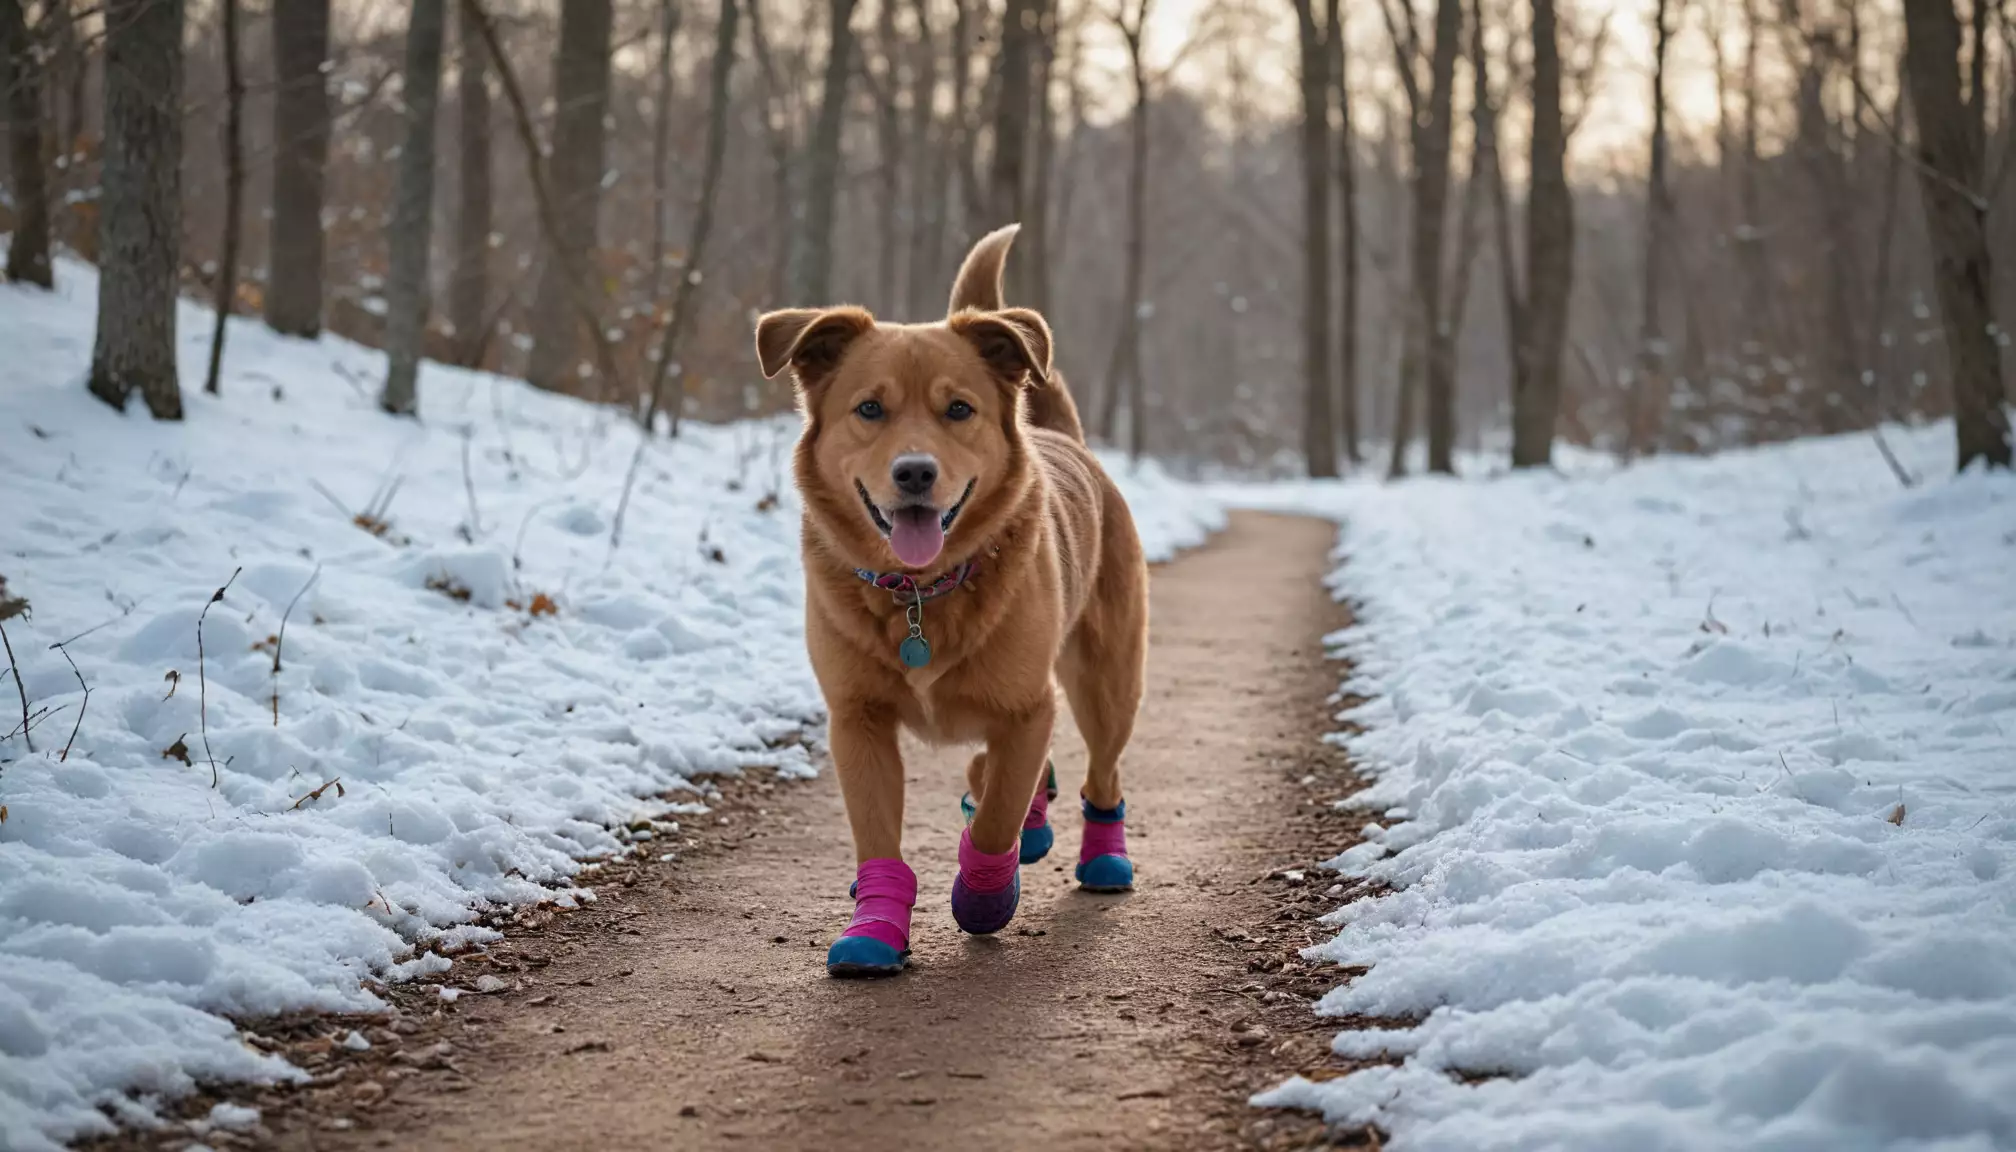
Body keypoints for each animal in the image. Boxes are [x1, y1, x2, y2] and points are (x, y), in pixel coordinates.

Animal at [753, 222, 1153, 972]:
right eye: (870, 409)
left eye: (959, 409)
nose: (915, 472)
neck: (920, 593)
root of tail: (1064, 438)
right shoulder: (858, 719)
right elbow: (882, 836)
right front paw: (874, 929)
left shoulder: (1028, 707)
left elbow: (995, 820)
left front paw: (985, 895)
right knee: (999, 770)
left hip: (1106, 680)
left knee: (1100, 772)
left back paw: (1101, 857)